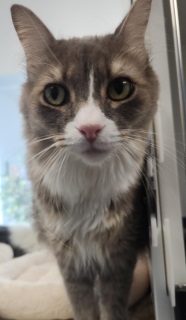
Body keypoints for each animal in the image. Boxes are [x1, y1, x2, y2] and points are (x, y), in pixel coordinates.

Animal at [10, 1, 158, 318]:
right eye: (55, 94)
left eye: (119, 88)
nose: (90, 128)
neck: (87, 186)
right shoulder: (71, 264)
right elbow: (83, 308)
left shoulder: (119, 257)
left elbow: (112, 306)